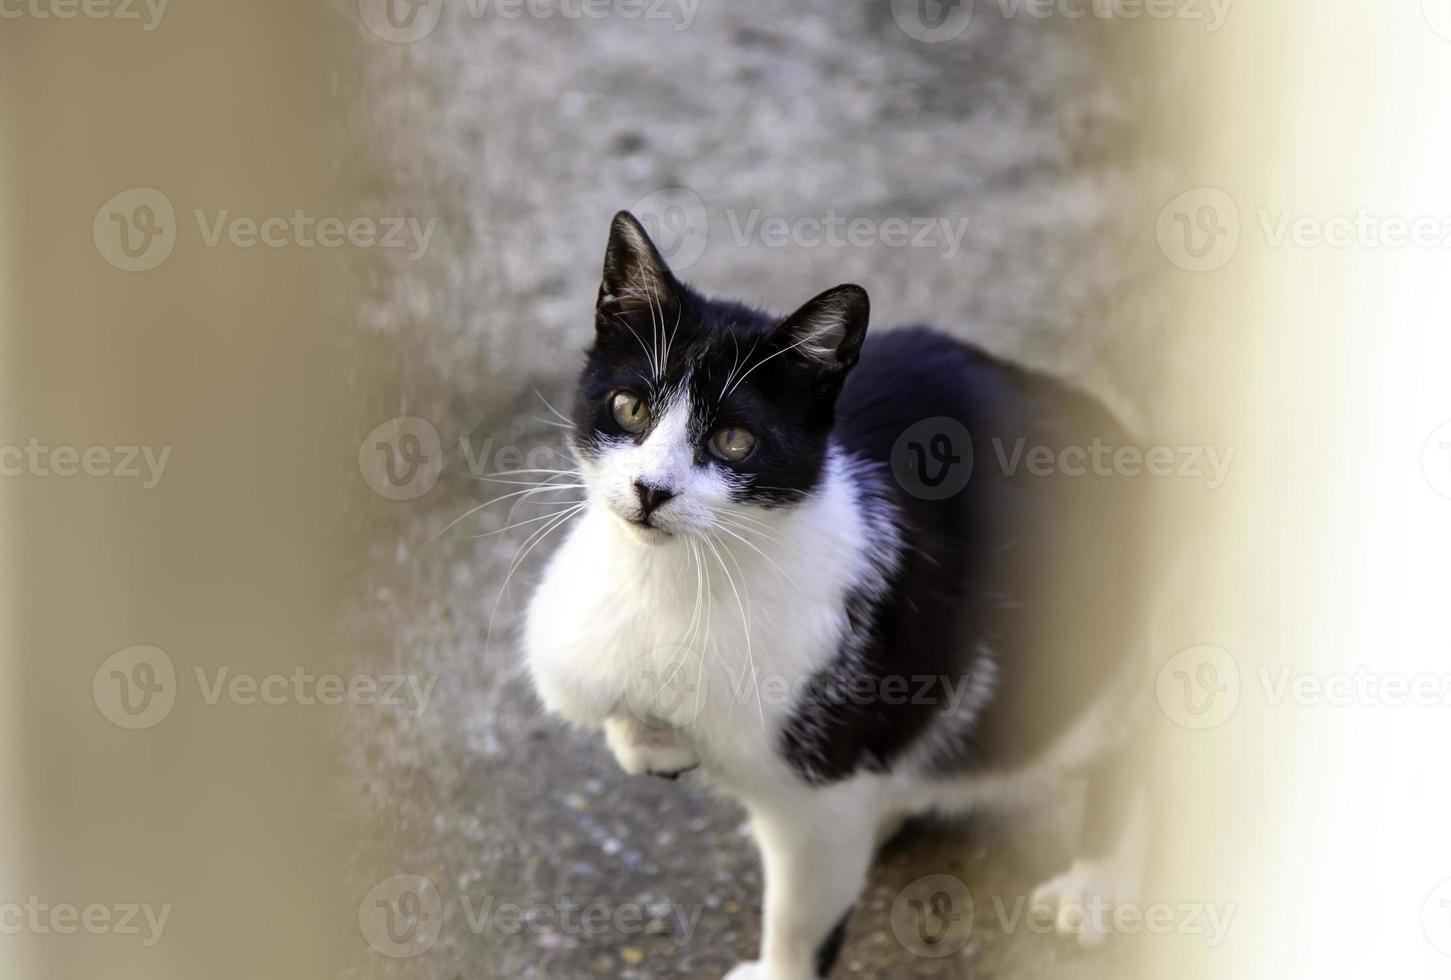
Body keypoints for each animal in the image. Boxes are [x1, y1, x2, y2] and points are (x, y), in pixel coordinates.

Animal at [528, 213, 1149, 980]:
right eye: (629, 405)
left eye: (734, 441)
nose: (650, 490)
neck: (683, 575)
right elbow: (619, 701)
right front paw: (649, 740)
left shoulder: (818, 792)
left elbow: (802, 911)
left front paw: (778, 970)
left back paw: (1098, 880)